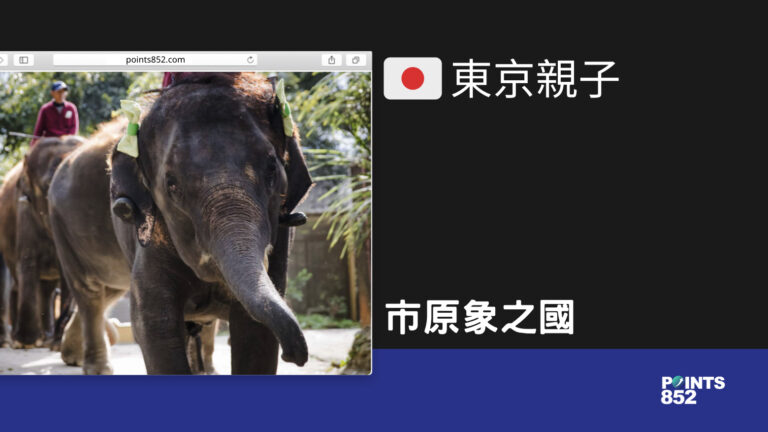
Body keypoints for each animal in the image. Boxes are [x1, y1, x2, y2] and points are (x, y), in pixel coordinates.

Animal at [109, 72, 313, 374]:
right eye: (172, 186)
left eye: (271, 170)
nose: (294, 355)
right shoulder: (151, 242)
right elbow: (154, 325)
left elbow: (255, 336)